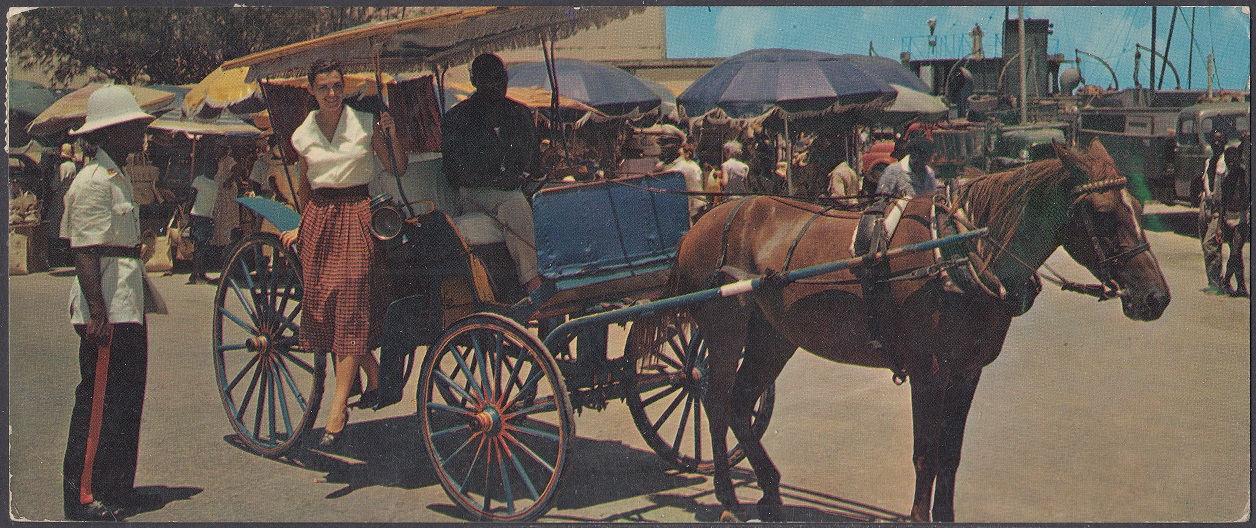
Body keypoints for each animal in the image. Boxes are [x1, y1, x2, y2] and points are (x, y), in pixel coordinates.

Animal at [662, 138, 1170, 522]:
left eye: (1138, 205)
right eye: (1102, 213)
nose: (1156, 297)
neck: (960, 255)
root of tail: (705, 222)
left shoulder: (967, 372)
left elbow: (950, 454)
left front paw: (945, 515)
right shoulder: (929, 373)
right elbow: (926, 454)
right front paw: (920, 516)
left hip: (774, 337)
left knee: (741, 402)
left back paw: (769, 491)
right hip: (725, 333)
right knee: (716, 401)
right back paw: (728, 498)